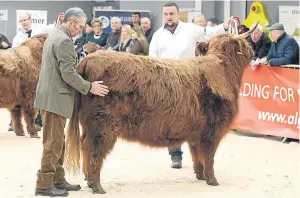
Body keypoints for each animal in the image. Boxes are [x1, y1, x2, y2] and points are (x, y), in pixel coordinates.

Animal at [65, 23, 258, 193]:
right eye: (244, 44)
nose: (252, 50)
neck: (223, 72)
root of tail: (88, 59)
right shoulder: (212, 131)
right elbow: (209, 157)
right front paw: (212, 180)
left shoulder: (196, 134)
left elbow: (197, 156)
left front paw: (200, 176)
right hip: (103, 127)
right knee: (94, 151)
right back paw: (96, 186)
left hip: (90, 126)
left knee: (85, 147)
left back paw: (88, 179)